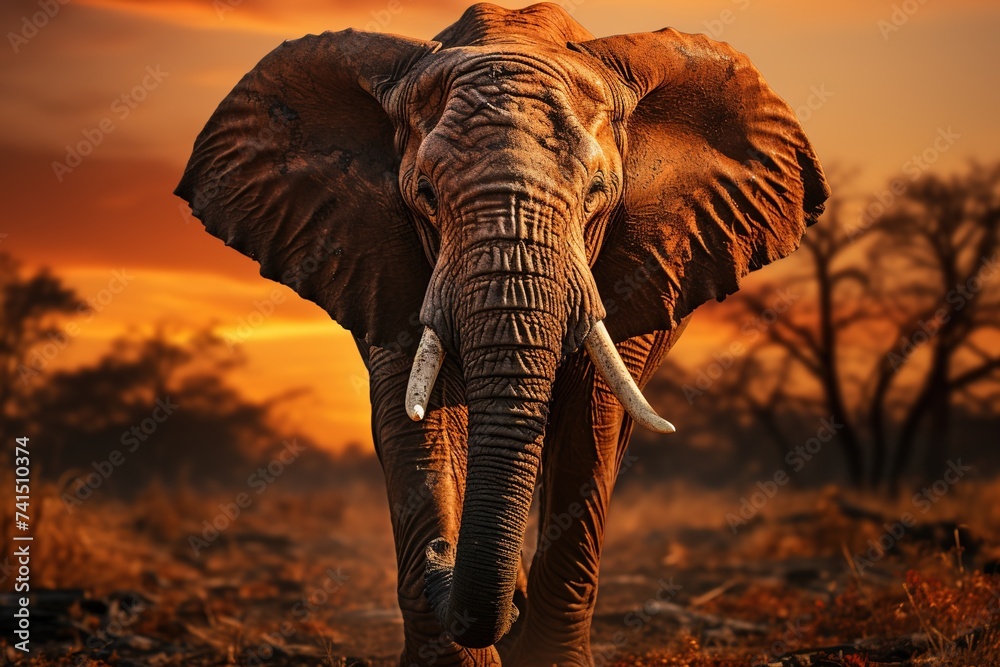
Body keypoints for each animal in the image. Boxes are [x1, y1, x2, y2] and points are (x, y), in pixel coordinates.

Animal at [175, 3, 828, 664]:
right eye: (425, 195)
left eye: (596, 195)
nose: (442, 556)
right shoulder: (381, 258)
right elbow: (418, 422)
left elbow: (590, 425)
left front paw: (546, 658)